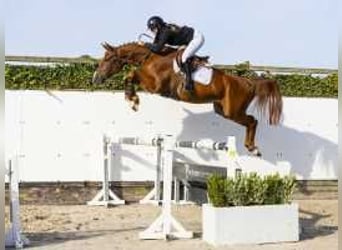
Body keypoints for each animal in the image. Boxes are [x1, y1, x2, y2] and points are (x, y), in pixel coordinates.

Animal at [92, 42, 282, 156]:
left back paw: (253, 148)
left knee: (252, 121)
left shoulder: (155, 86)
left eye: (107, 58)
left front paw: (133, 100)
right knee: (250, 121)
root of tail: (248, 81)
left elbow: (131, 74)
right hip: (222, 110)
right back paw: (251, 147)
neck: (150, 58)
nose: (95, 78)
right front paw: (131, 98)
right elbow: (131, 75)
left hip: (232, 111)